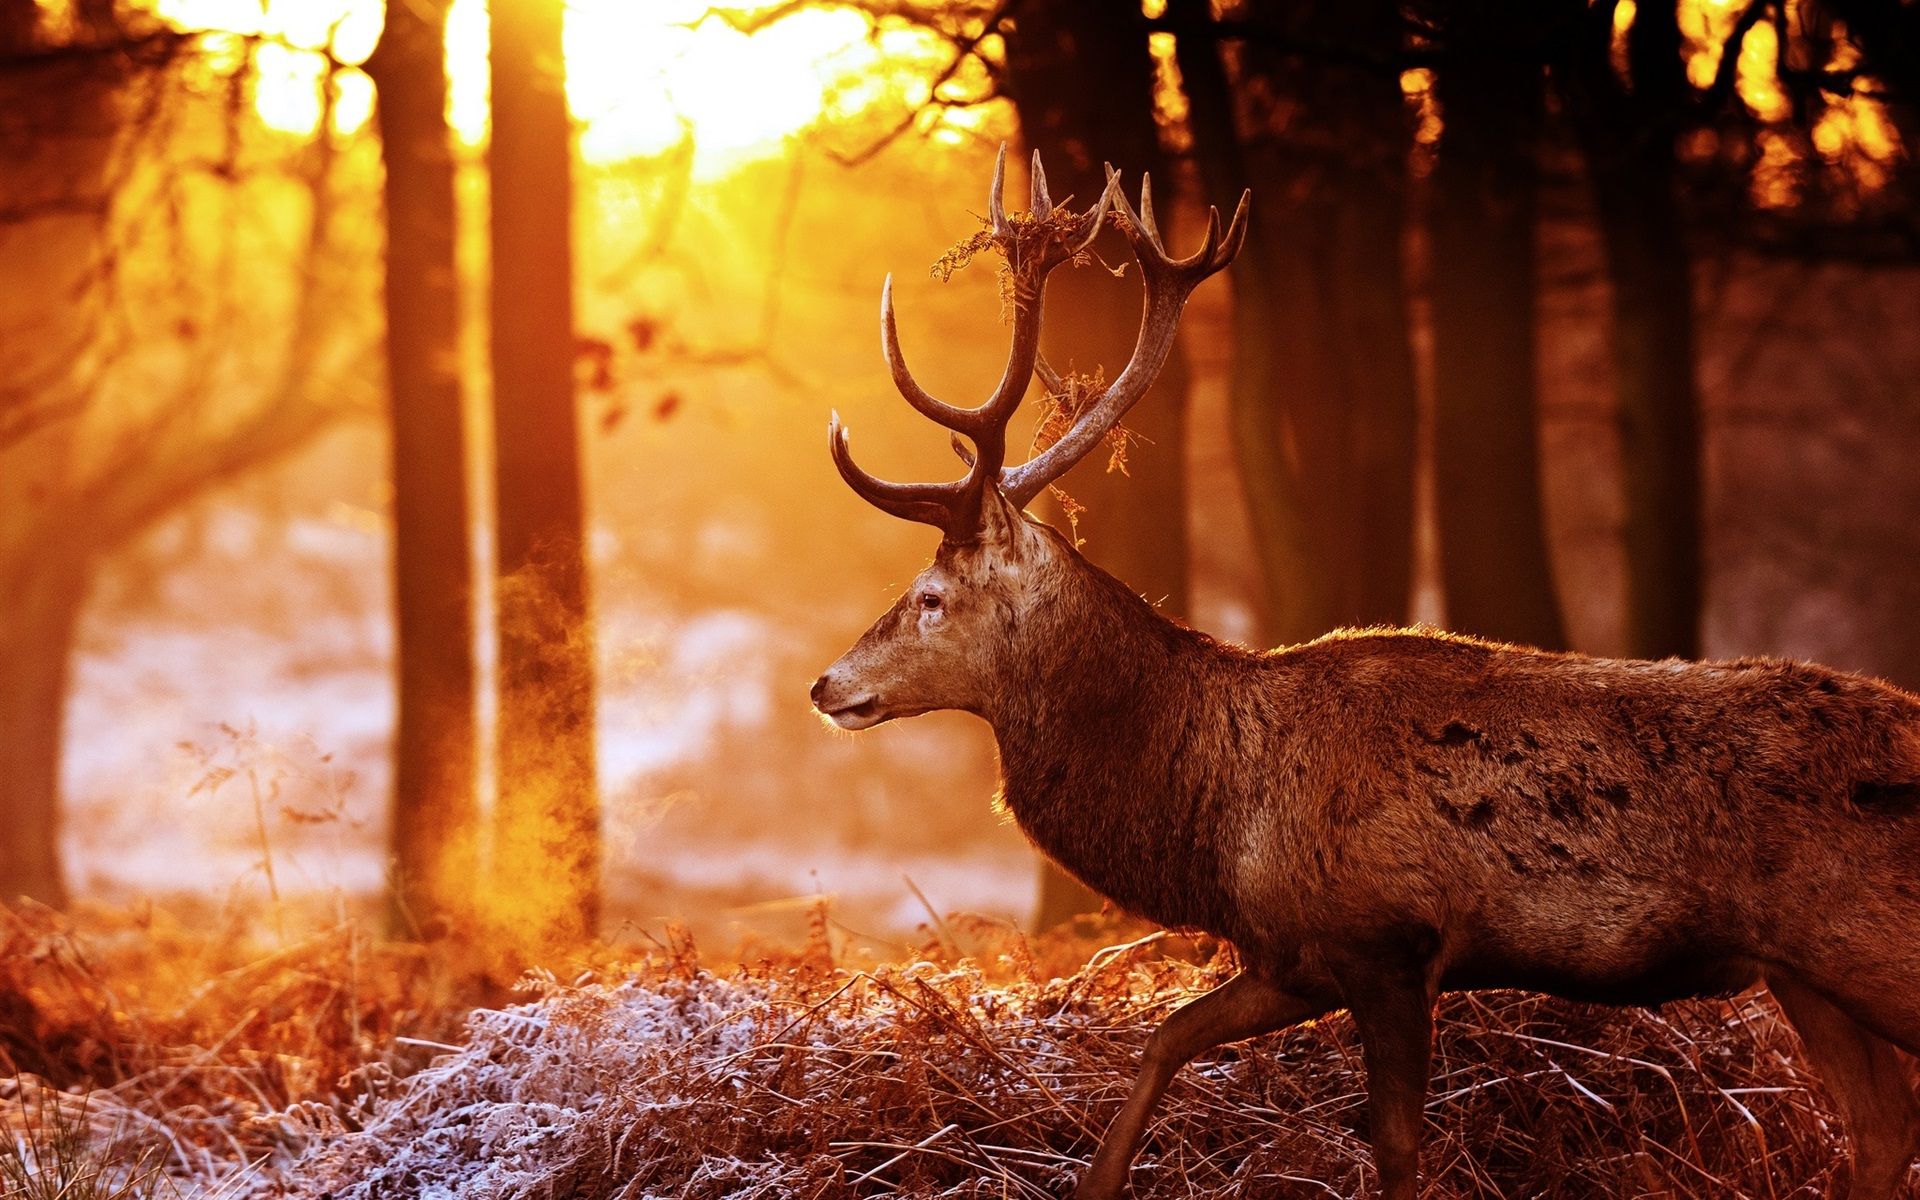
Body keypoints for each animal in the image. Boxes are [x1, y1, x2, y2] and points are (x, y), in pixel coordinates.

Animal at [809, 146, 1920, 1200]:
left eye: (929, 595)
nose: (825, 686)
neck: (1219, 815)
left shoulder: (1390, 940)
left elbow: (1393, 1150)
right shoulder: (1293, 953)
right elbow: (1164, 1037)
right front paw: (1098, 1179)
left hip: (1868, 942)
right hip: (1804, 972)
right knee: (1881, 1132)